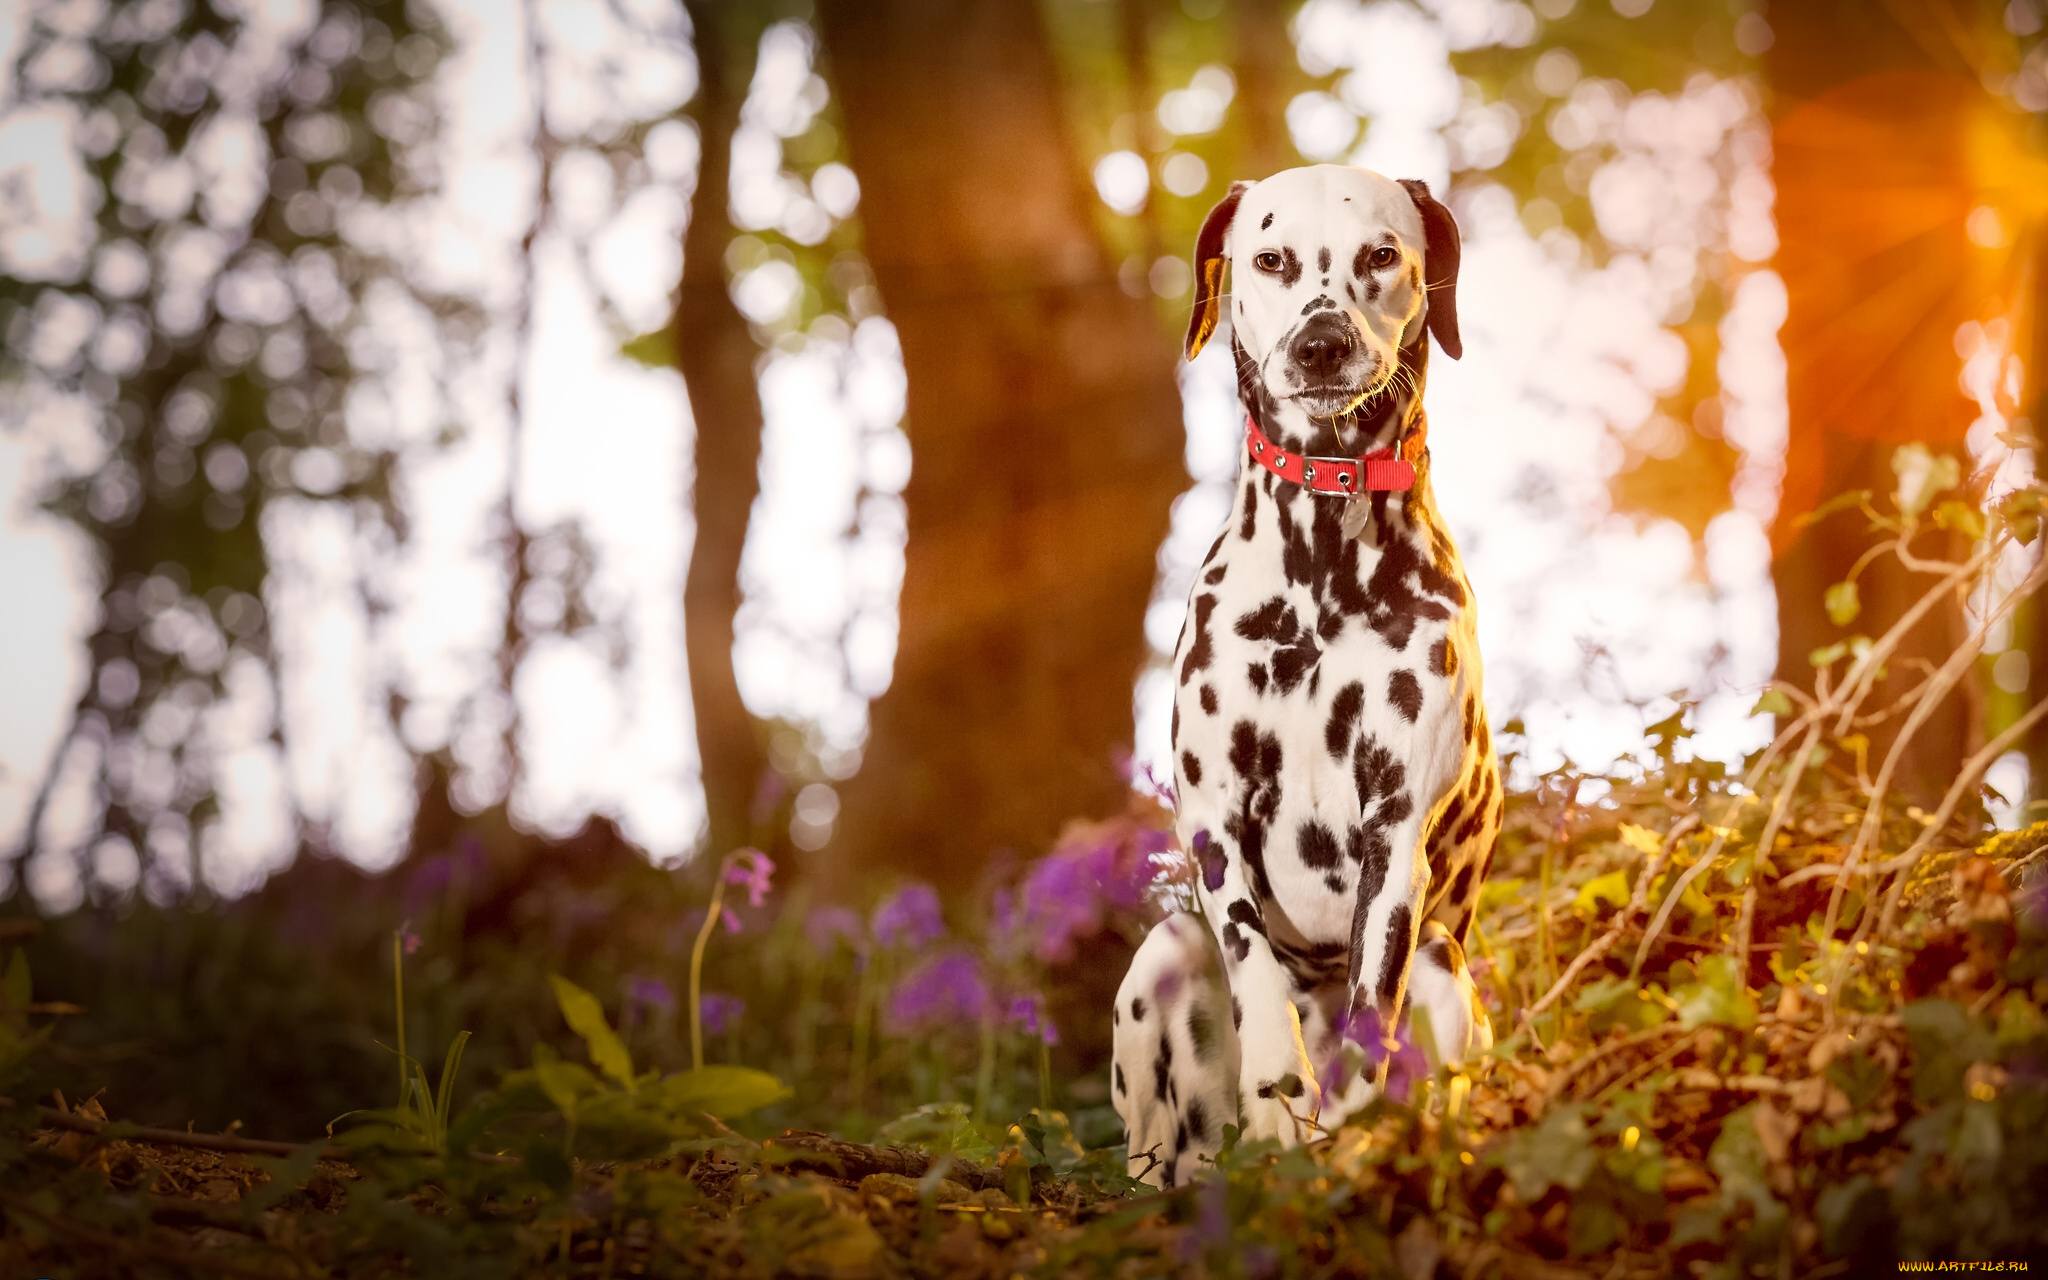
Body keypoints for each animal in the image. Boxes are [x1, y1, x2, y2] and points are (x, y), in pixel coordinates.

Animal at [1114, 164, 1499, 1179]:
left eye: (1381, 254)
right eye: (1272, 259)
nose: (1321, 345)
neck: (1325, 559)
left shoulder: (1396, 832)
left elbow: (1372, 1006)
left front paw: (1347, 1118)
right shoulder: (1215, 817)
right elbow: (1253, 965)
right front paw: (1279, 1095)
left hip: (1447, 970)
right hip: (1162, 959)